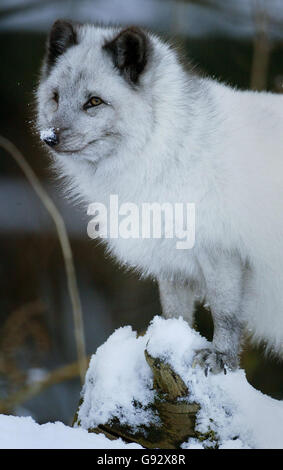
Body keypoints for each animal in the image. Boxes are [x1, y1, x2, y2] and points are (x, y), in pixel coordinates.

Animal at [36, 19, 283, 374]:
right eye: (55, 98)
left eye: (94, 102)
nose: (49, 137)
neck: (168, 150)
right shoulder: (172, 263)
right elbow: (175, 313)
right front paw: (171, 344)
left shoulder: (221, 250)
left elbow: (225, 314)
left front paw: (221, 358)